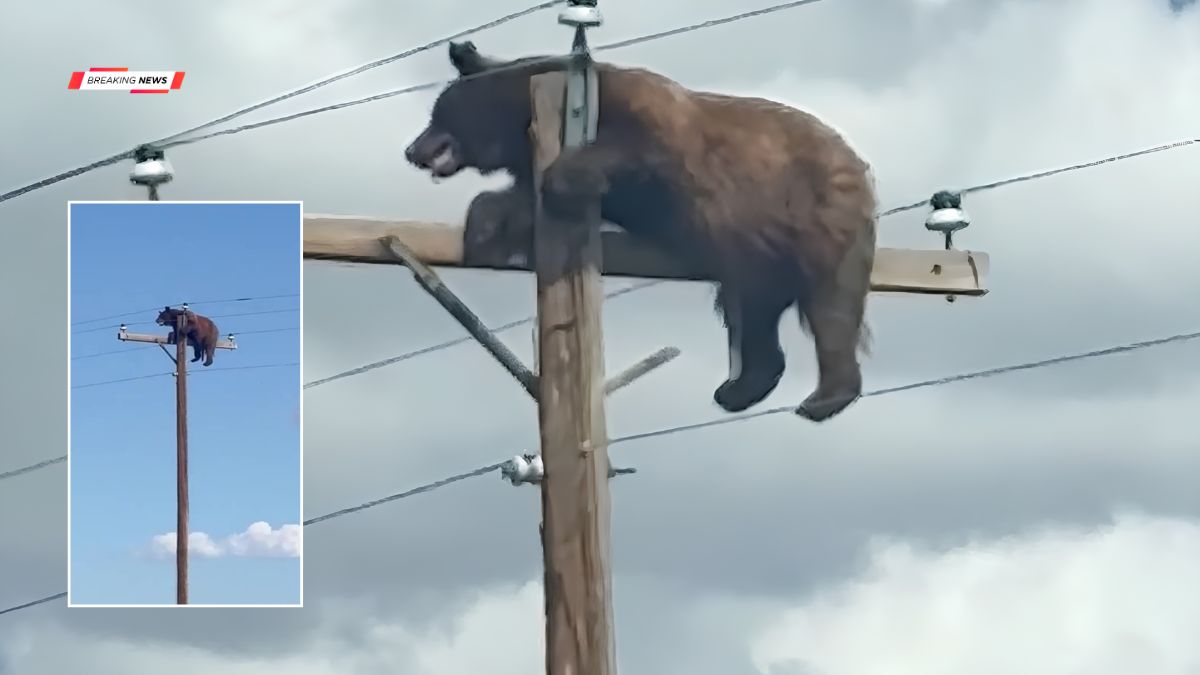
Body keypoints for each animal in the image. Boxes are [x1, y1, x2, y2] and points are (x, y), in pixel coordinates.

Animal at [404, 40, 877, 422]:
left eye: (435, 113)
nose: (411, 149)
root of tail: (856, 161)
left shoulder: (645, 124)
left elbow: (630, 151)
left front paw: (562, 186)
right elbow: (518, 201)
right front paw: (483, 227)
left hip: (816, 213)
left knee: (832, 304)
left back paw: (825, 397)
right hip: (756, 250)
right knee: (752, 310)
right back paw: (738, 389)